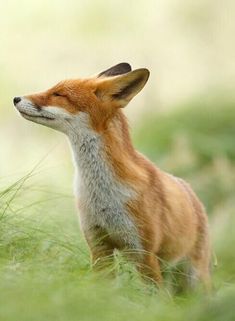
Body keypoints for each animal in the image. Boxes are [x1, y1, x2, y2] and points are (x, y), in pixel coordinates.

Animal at [13, 62, 211, 288]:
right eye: (54, 89)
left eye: (59, 94)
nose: (15, 98)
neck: (103, 194)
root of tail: (193, 194)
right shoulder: (98, 245)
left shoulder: (143, 252)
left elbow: (153, 295)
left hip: (194, 278)